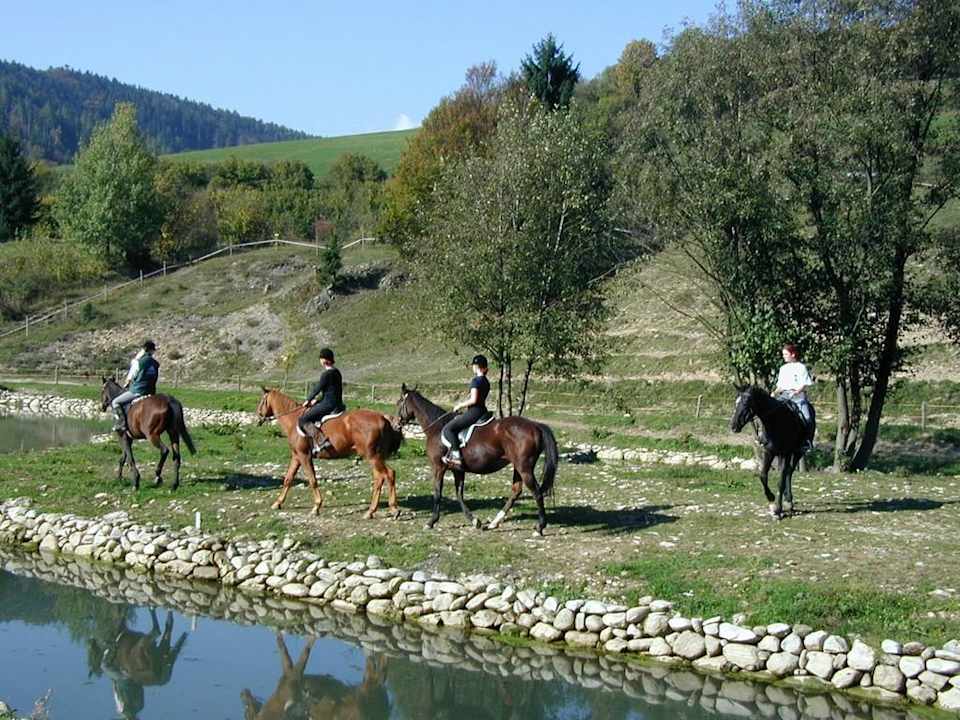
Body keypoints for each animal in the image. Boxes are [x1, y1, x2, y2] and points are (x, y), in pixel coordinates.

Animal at [241, 634, 389, 720]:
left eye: (246, 712)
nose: (244, 692)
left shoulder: (291, 677)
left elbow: (297, 652)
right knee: (380, 669)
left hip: (364, 691)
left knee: (373, 668)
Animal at [255, 388, 404, 517]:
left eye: (262, 401)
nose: (258, 417)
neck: (293, 419)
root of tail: (382, 418)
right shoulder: (296, 456)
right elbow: (288, 479)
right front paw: (277, 503)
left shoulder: (304, 456)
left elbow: (312, 479)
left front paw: (316, 506)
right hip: (375, 457)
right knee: (380, 478)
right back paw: (371, 511)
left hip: (373, 456)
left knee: (389, 474)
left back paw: (393, 509)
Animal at [395, 384, 559, 535]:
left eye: (398, 403)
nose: (396, 424)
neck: (437, 428)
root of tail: (535, 425)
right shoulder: (457, 469)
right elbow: (459, 494)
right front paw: (475, 521)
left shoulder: (438, 467)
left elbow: (437, 494)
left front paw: (431, 522)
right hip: (518, 467)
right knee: (516, 491)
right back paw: (494, 523)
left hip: (524, 467)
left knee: (537, 492)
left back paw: (539, 527)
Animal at [730, 385, 815, 519]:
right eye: (736, 402)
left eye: (746, 403)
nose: (734, 426)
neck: (776, 421)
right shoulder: (769, 452)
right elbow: (763, 475)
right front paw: (772, 503)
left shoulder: (786, 453)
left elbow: (781, 481)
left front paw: (778, 510)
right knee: (787, 472)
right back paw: (787, 500)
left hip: (798, 452)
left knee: (789, 472)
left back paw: (789, 501)